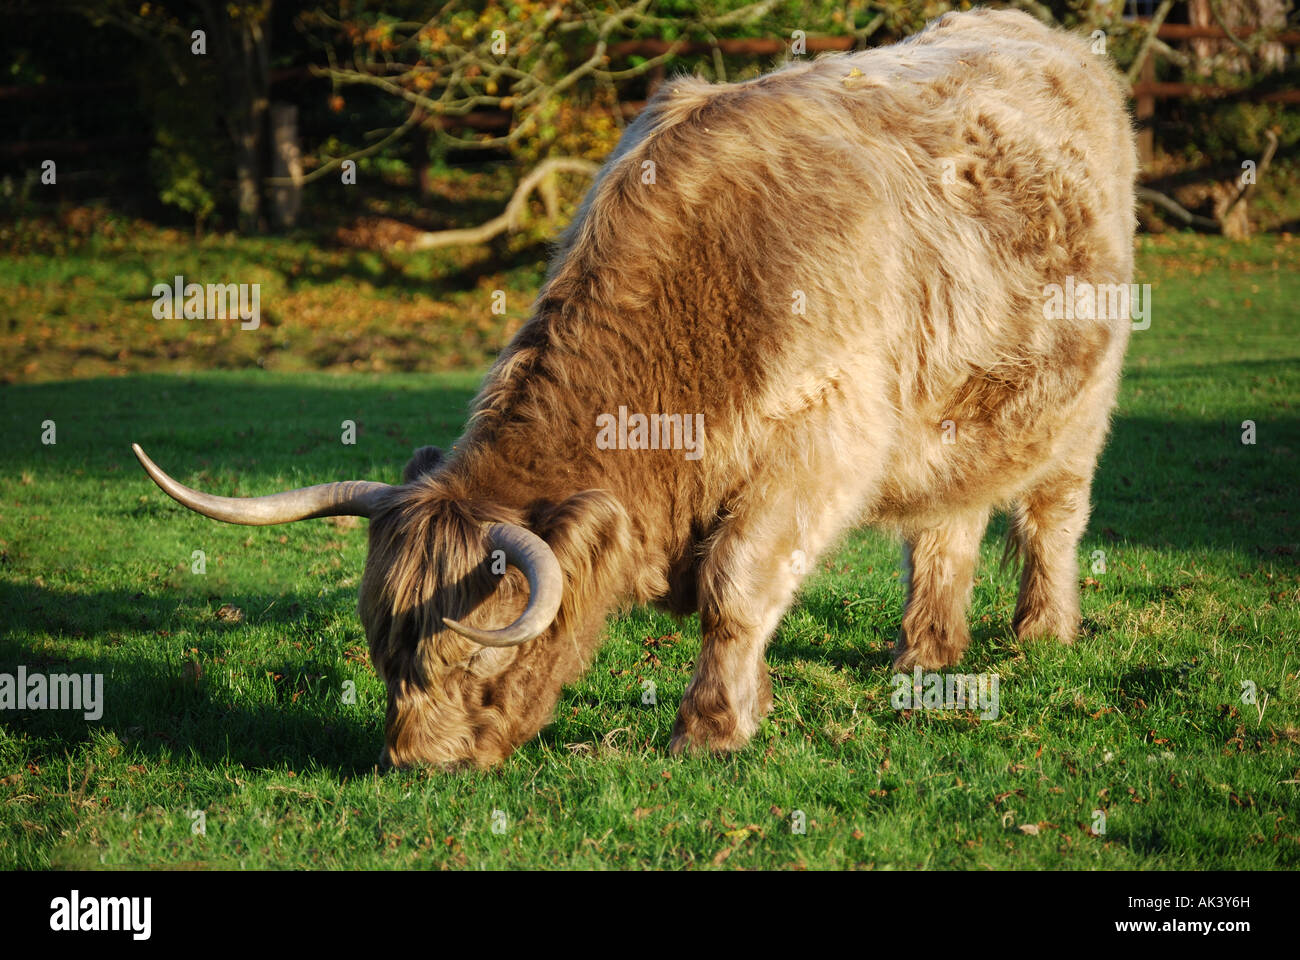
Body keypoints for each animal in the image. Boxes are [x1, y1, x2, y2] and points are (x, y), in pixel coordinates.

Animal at [134, 7, 1138, 764]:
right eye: (384, 652)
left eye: (470, 662)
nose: (415, 763)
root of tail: (1039, 34)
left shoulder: (821, 451)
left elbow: (737, 589)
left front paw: (712, 729)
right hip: (960, 415)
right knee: (946, 524)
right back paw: (926, 651)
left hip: (1080, 406)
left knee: (1051, 515)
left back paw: (1043, 630)